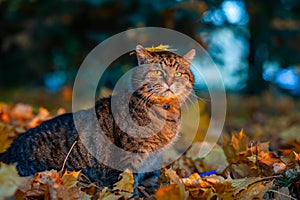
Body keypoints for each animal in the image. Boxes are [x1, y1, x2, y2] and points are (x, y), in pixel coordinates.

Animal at [0, 44, 196, 197]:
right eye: (157, 72)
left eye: (179, 74)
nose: (170, 82)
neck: (165, 112)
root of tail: (8, 152)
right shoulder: (126, 160)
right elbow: (127, 187)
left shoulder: (153, 162)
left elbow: (150, 186)